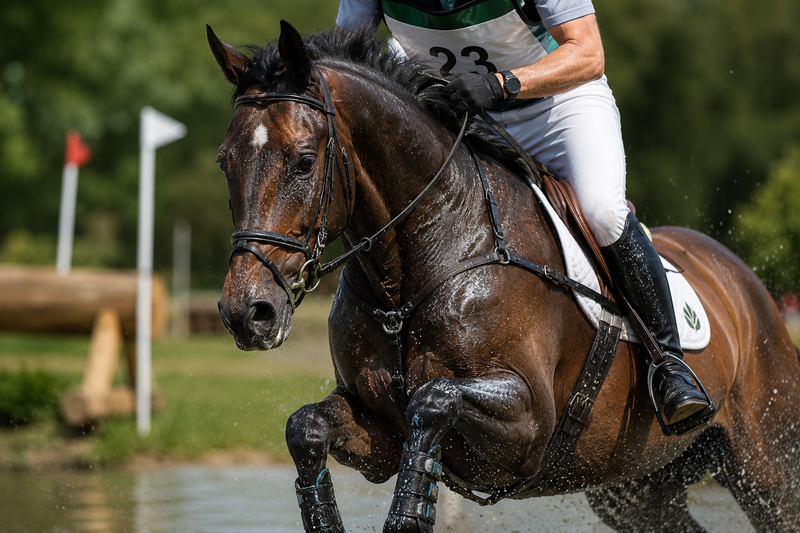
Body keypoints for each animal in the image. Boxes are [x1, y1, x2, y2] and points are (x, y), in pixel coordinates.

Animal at [210, 21, 800, 532]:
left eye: (304, 161)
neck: (413, 266)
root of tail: (745, 284)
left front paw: (409, 513)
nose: (248, 313)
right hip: (637, 486)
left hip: (767, 467)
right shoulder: (377, 430)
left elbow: (434, 399)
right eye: (224, 163)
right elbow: (305, 427)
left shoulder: (528, 427)